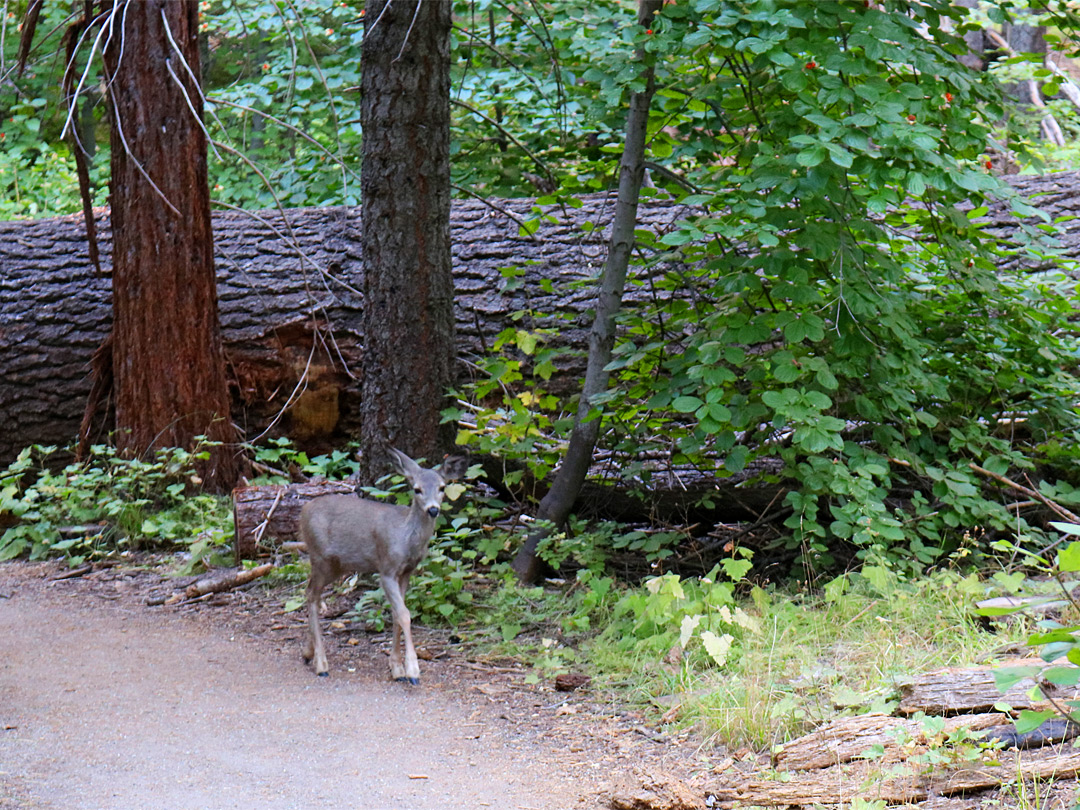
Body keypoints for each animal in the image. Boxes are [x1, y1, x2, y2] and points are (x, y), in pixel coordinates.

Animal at [298, 451, 466, 686]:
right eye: (417, 489)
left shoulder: (406, 572)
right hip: (320, 556)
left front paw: (397, 668)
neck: (406, 538)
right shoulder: (386, 569)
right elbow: (404, 614)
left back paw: (308, 653)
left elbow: (397, 613)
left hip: (336, 565)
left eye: (442, 487)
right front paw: (412, 671)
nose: (433, 509)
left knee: (311, 592)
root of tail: (303, 510)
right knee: (312, 594)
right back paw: (321, 664)